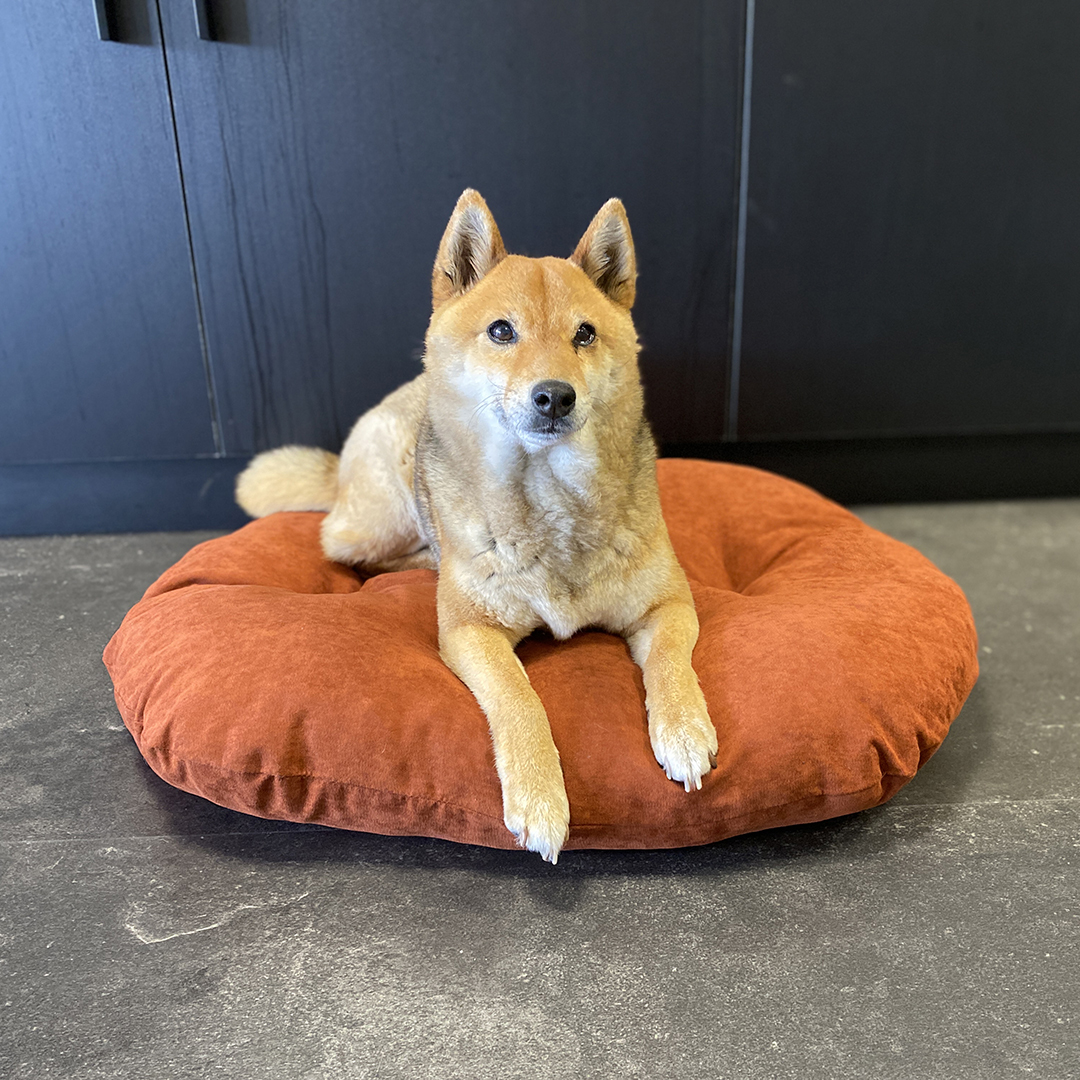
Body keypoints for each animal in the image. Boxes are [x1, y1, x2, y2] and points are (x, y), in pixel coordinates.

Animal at [236, 185, 717, 859]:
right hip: (381, 516)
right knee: (349, 548)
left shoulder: (669, 604)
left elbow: (672, 662)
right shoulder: (470, 632)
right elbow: (519, 698)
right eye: (501, 331)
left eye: (585, 334)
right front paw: (540, 795)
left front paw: (684, 729)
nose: (555, 396)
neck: (549, 501)